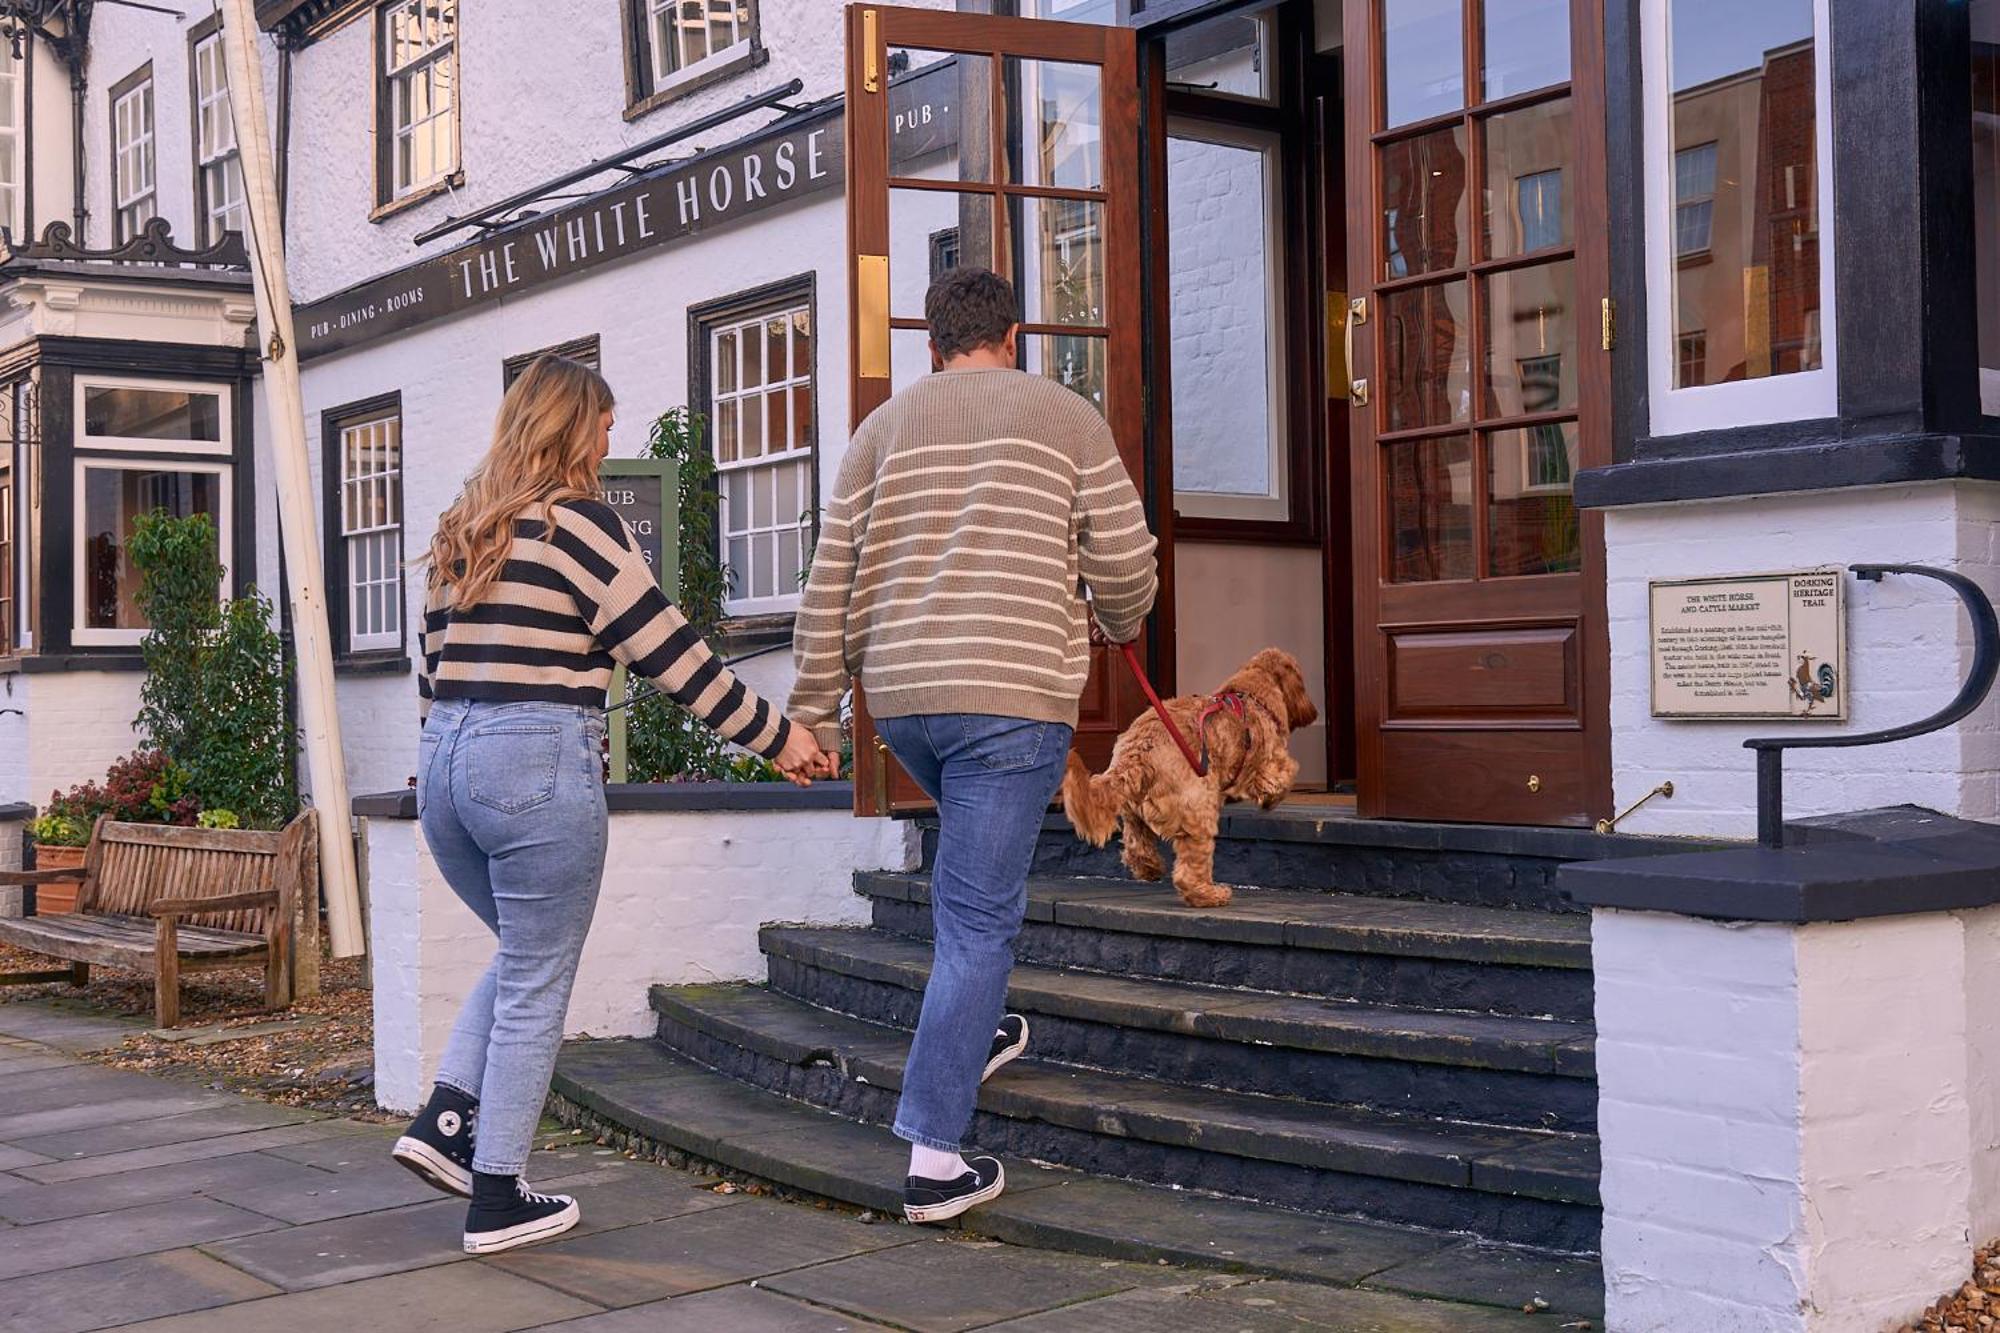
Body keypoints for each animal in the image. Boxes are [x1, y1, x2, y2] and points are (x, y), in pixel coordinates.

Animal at [1056, 644, 1320, 904]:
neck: (1250, 695)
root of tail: (1136, 753)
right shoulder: (1269, 765)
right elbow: (1284, 773)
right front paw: (1272, 799)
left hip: (1134, 812)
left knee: (1135, 847)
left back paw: (1151, 868)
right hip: (1198, 811)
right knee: (1188, 872)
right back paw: (1210, 894)